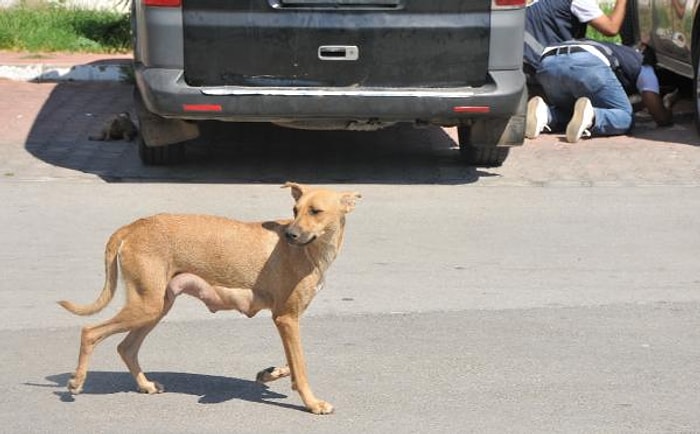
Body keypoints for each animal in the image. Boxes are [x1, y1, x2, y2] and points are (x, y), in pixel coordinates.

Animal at [59, 182, 360, 414]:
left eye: (315, 211)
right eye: (295, 211)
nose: (290, 234)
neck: (311, 251)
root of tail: (133, 226)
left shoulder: (287, 321)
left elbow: (293, 364)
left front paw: (272, 373)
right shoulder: (286, 318)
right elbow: (302, 366)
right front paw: (312, 403)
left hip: (156, 306)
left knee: (126, 348)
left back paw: (145, 385)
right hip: (146, 306)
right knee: (90, 332)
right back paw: (76, 382)